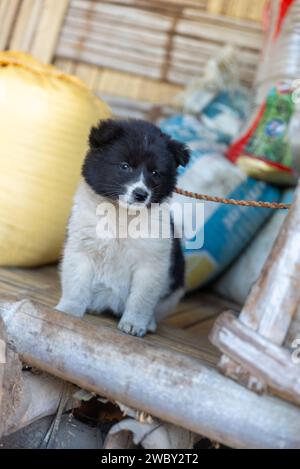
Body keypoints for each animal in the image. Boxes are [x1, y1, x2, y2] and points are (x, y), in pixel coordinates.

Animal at [56, 119, 190, 334]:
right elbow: (76, 284)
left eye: (155, 173)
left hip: (174, 288)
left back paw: (149, 323)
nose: (141, 195)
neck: (122, 214)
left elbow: (142, 298)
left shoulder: (152, 262)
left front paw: (134, 324)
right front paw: (68, 311)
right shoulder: (82, 248)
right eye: (124, 166)